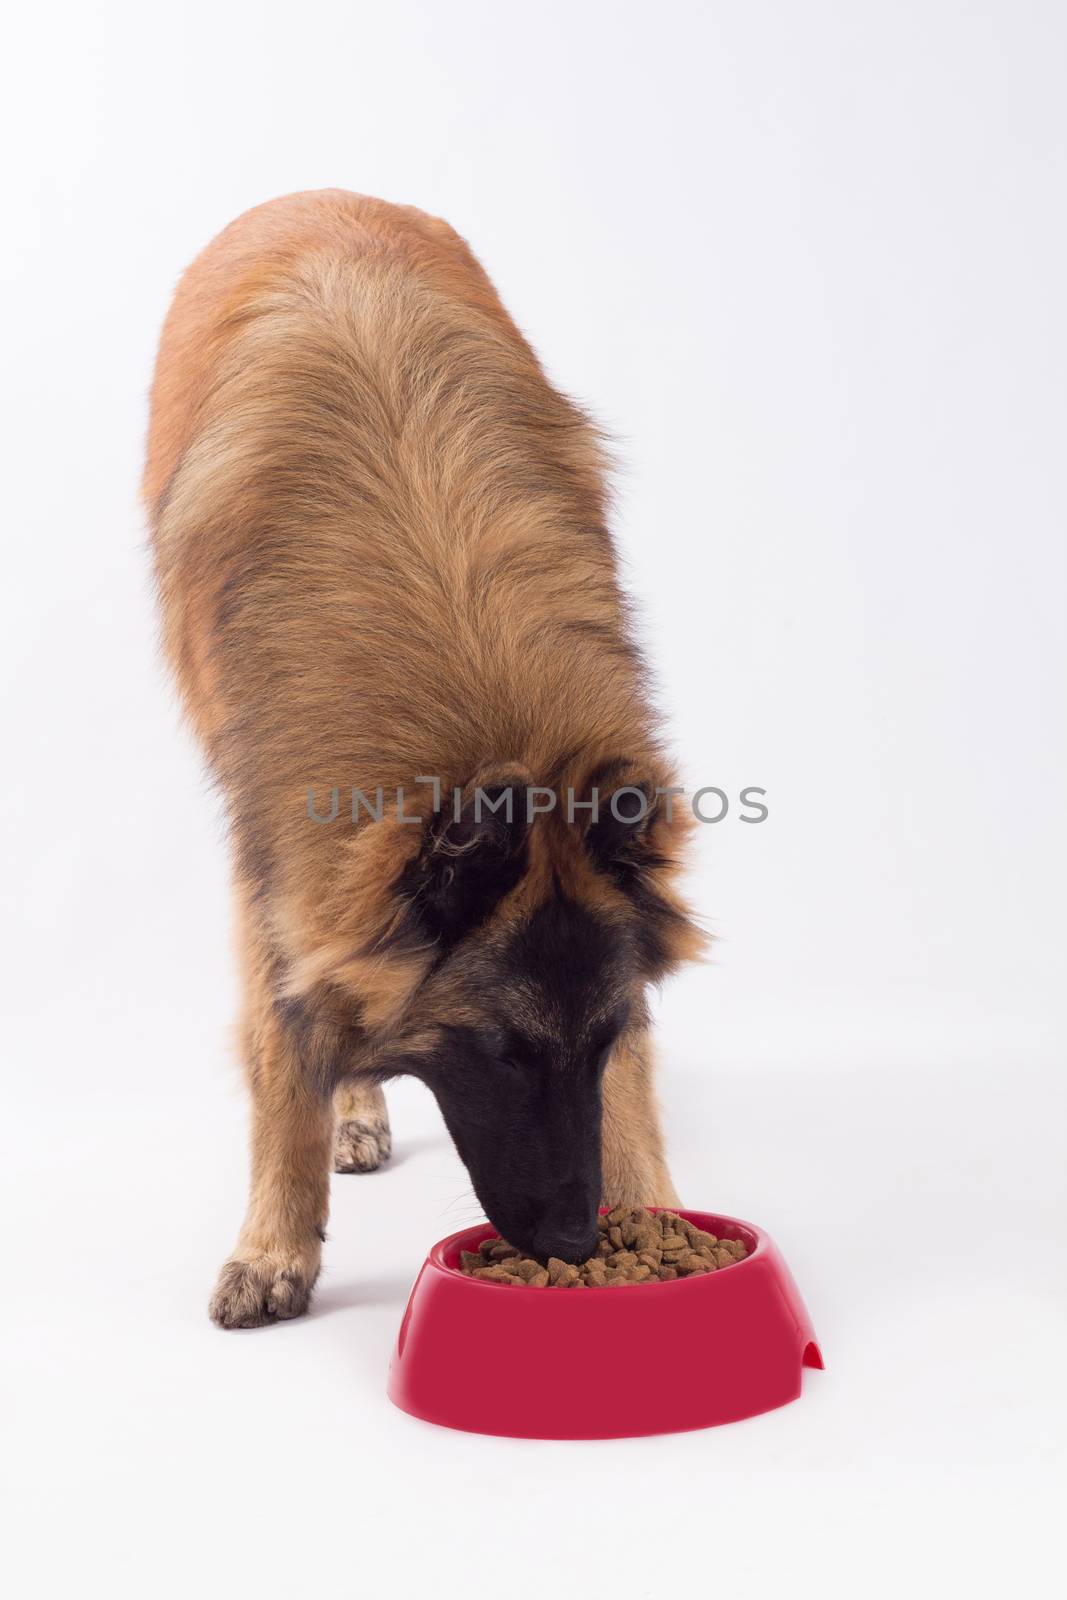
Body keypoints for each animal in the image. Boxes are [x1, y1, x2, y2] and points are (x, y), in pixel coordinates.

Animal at [146, 193, 703, 1331]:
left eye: (600, 1036)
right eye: (498, 1049)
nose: (575, 1240)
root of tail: (311, 195)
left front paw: (654, 1208)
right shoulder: (276, 859)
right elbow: (284, 1040)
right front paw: (275, 1243)